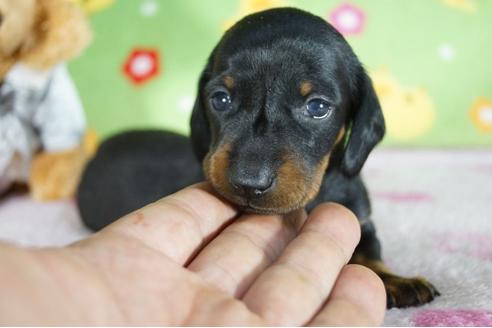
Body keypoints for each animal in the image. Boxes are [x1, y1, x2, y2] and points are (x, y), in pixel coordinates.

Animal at [76, 8, 438, 310]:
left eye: (318, 107)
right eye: (220, 99)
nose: (249, 183)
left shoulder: (358, 214)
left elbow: (366, 249)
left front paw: (394, 279)